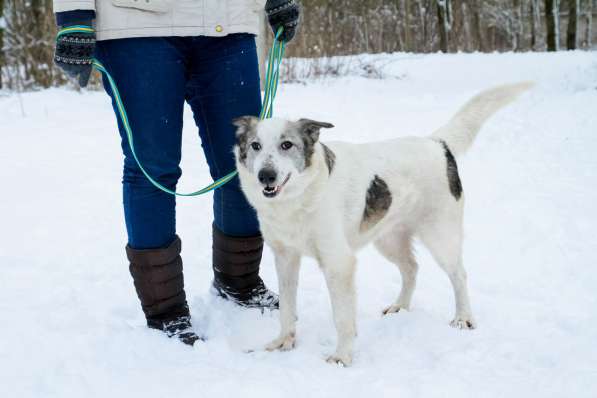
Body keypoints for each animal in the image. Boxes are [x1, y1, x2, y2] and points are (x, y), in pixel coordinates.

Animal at [232, 82, 532, 366]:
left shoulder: (338, 263)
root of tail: (437, 143)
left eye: (286, 145)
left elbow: (342, 318)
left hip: (440, 237)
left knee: (459, 274)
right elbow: (286, 308)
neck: (298, 199)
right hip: (388, 239)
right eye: (256, 146)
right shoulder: (285, 257)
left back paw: (463, 317)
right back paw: (401, 306)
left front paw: (342, 357)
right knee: (411, 268)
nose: (265, 176)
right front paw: (284, 341)